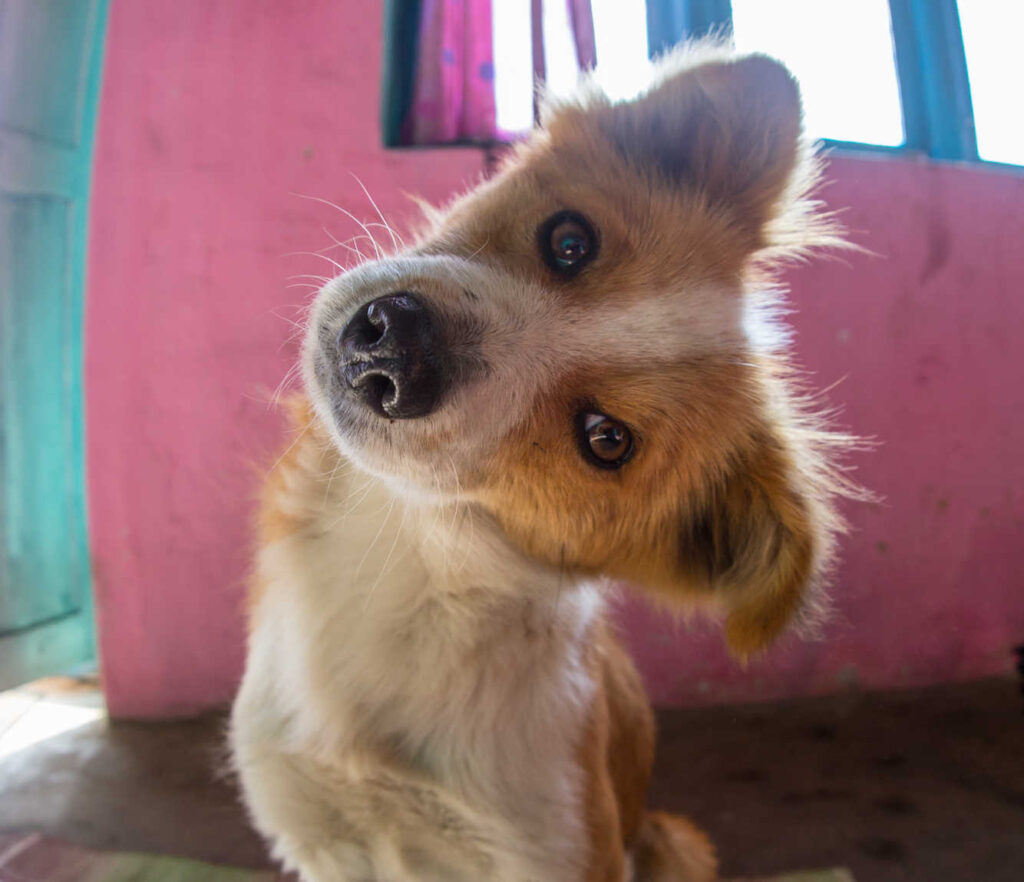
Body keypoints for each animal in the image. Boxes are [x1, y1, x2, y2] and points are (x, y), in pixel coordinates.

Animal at [230, 39, 847, 880]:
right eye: (569, 240)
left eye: (606, 440)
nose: (396, 347)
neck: (408, 559)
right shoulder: (319, 836)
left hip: (672, 839)